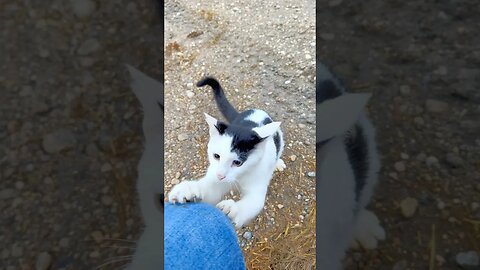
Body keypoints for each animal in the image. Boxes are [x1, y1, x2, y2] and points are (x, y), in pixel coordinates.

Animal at [167, 77, 284, 229]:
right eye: (216, 156)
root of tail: (255, 111)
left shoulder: (258, 182)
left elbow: (253, 203)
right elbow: (209, 190)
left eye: (238, 162)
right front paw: (188, 189)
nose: (220, 176)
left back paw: (278, 163)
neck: (239, 177)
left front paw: (233, 210)